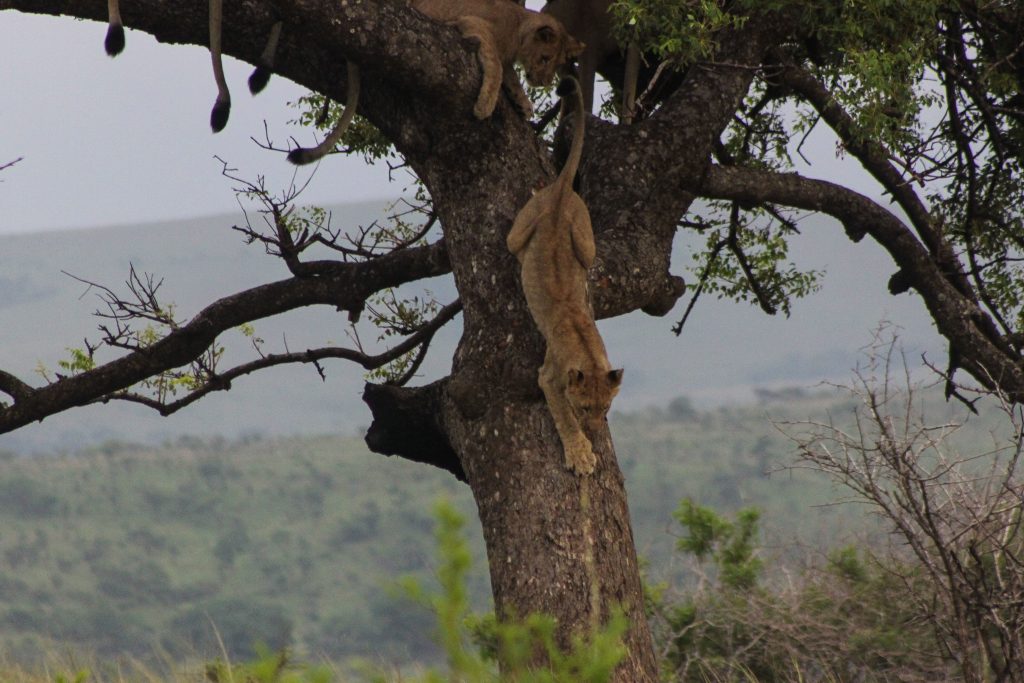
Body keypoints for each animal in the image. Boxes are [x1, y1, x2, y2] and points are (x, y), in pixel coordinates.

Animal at [506, 76, 623, 475]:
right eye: (584, 407)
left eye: (606, 407)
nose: (598, 428)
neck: (587, 354)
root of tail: (559, 193)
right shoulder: (548, 376)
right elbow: (564, 418)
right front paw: (581, 453)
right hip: (518, 236)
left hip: (584, 246)